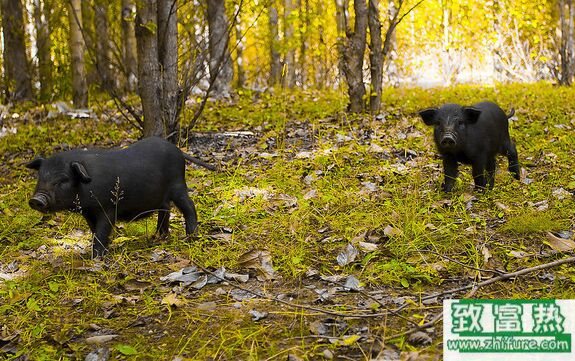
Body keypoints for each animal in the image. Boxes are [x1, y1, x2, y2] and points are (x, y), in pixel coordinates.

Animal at [25, 136, 199, 258]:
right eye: (40, 177)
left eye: (63, 180)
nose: (36, 199)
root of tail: (177, 150)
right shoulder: (88, 212)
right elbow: (94, 230)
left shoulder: (107, 207)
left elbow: (102, 231)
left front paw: (96, 257)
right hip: (162, 197)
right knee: (166, 209)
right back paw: (159, 236)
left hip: (178, 185)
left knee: (189, 207)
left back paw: (191, 237)